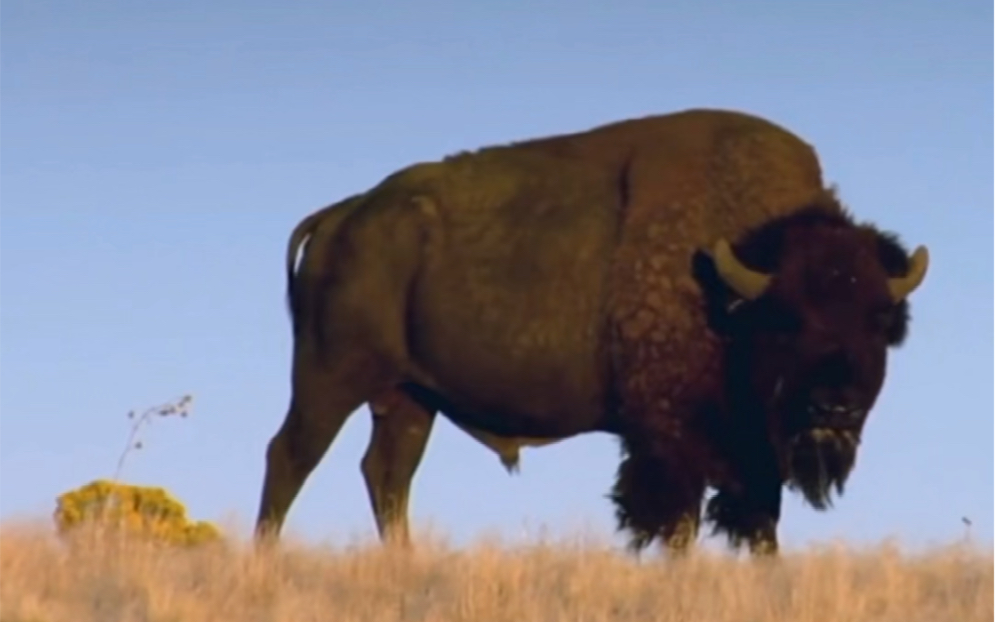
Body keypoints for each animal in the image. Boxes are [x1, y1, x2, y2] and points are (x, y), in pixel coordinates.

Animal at [253, 107, 928, 556]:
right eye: (788, 318)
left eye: (878, 320)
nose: (835, 407)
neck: (732, 288)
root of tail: (343, 214)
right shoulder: (669, 440)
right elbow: (676, 521)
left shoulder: (753, 454)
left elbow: (760, 522)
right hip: (330, 378)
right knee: (290, 457)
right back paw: (266, 556)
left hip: (410, 399)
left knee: (387, 474)